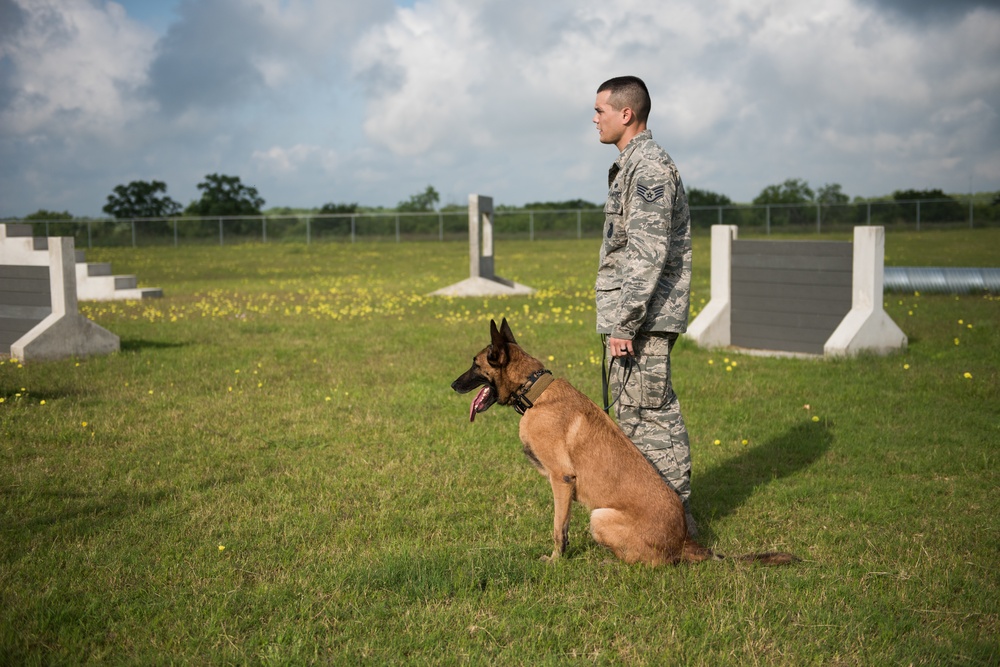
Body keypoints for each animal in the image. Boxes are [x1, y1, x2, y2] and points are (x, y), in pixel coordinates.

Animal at [454, 320, 796, 568]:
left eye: (475, 364)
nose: (453, 384)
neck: (534, 391)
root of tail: (683, 542)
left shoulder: (561, 480)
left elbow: (558, 529)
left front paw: (555, 560)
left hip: (600, 517)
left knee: (649, 563)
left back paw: (611, 563)